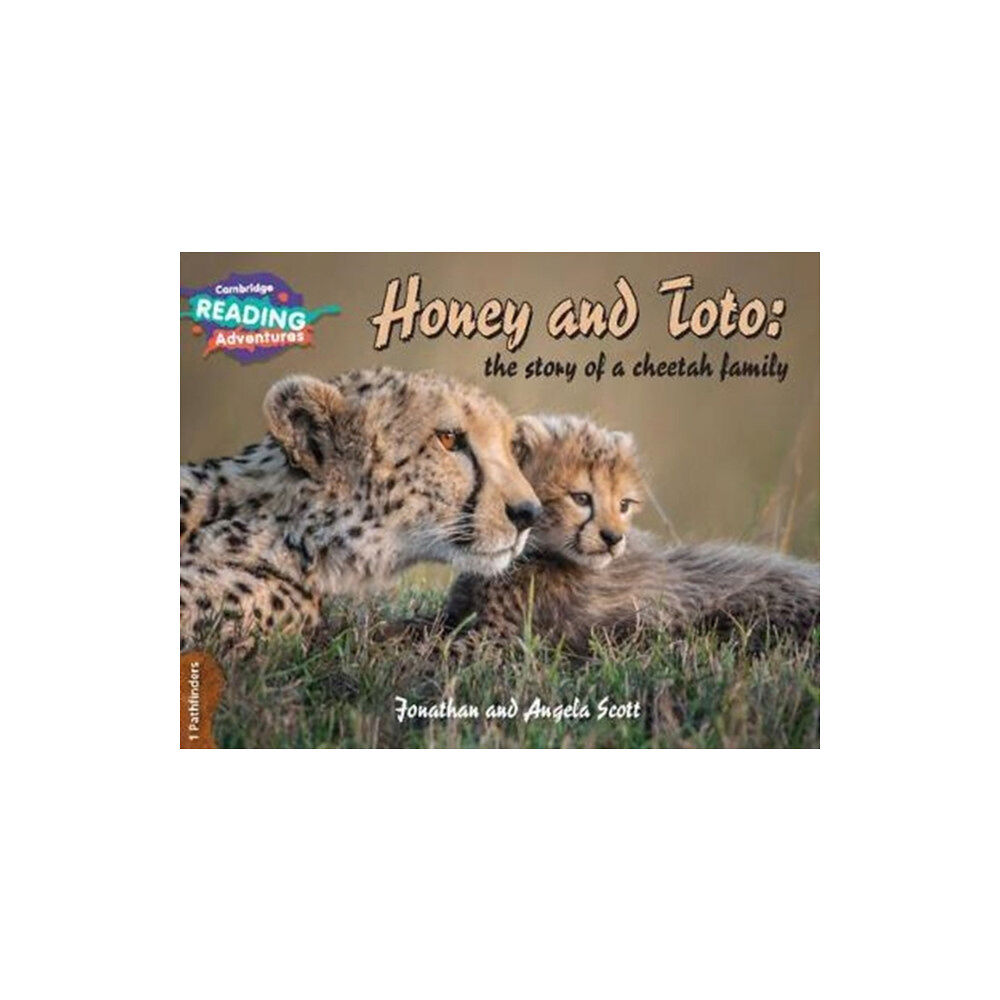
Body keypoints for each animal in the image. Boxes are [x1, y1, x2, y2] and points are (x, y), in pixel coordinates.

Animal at [443, 414, 820, 653]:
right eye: (581, 498)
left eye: (624, 504)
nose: (613, 538)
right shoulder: (458, 616)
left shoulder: (500, 640)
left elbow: (441, 652)